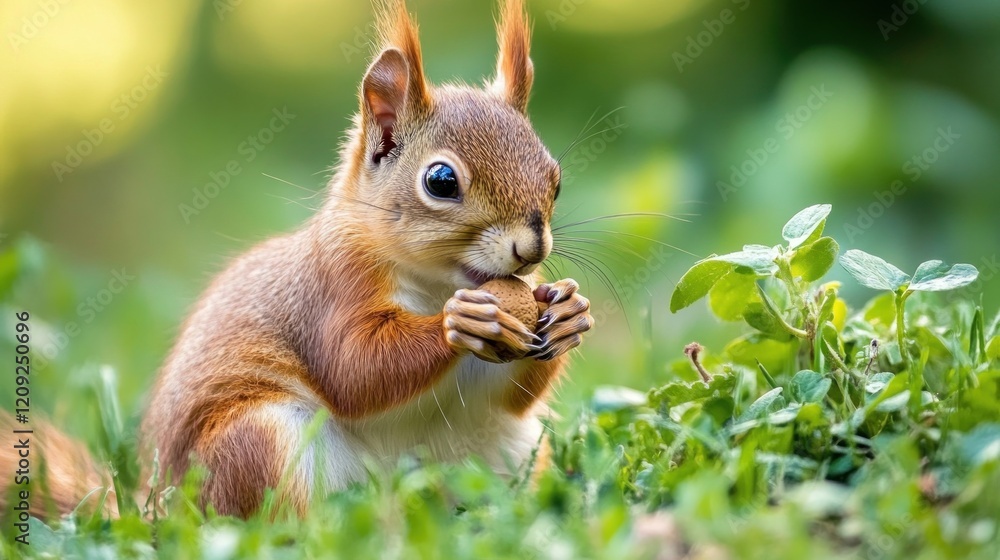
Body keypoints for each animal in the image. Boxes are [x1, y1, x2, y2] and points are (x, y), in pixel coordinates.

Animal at [0, 0, 594, 519]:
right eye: (441, 180)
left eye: (555, 179)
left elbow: (511, 390)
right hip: (257, 442)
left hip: (506, 446)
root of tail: (158, 511)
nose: (531, 249)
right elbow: (354, 367)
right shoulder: (332, 285)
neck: (435, 283)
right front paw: (463, 319)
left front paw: (568, 312)